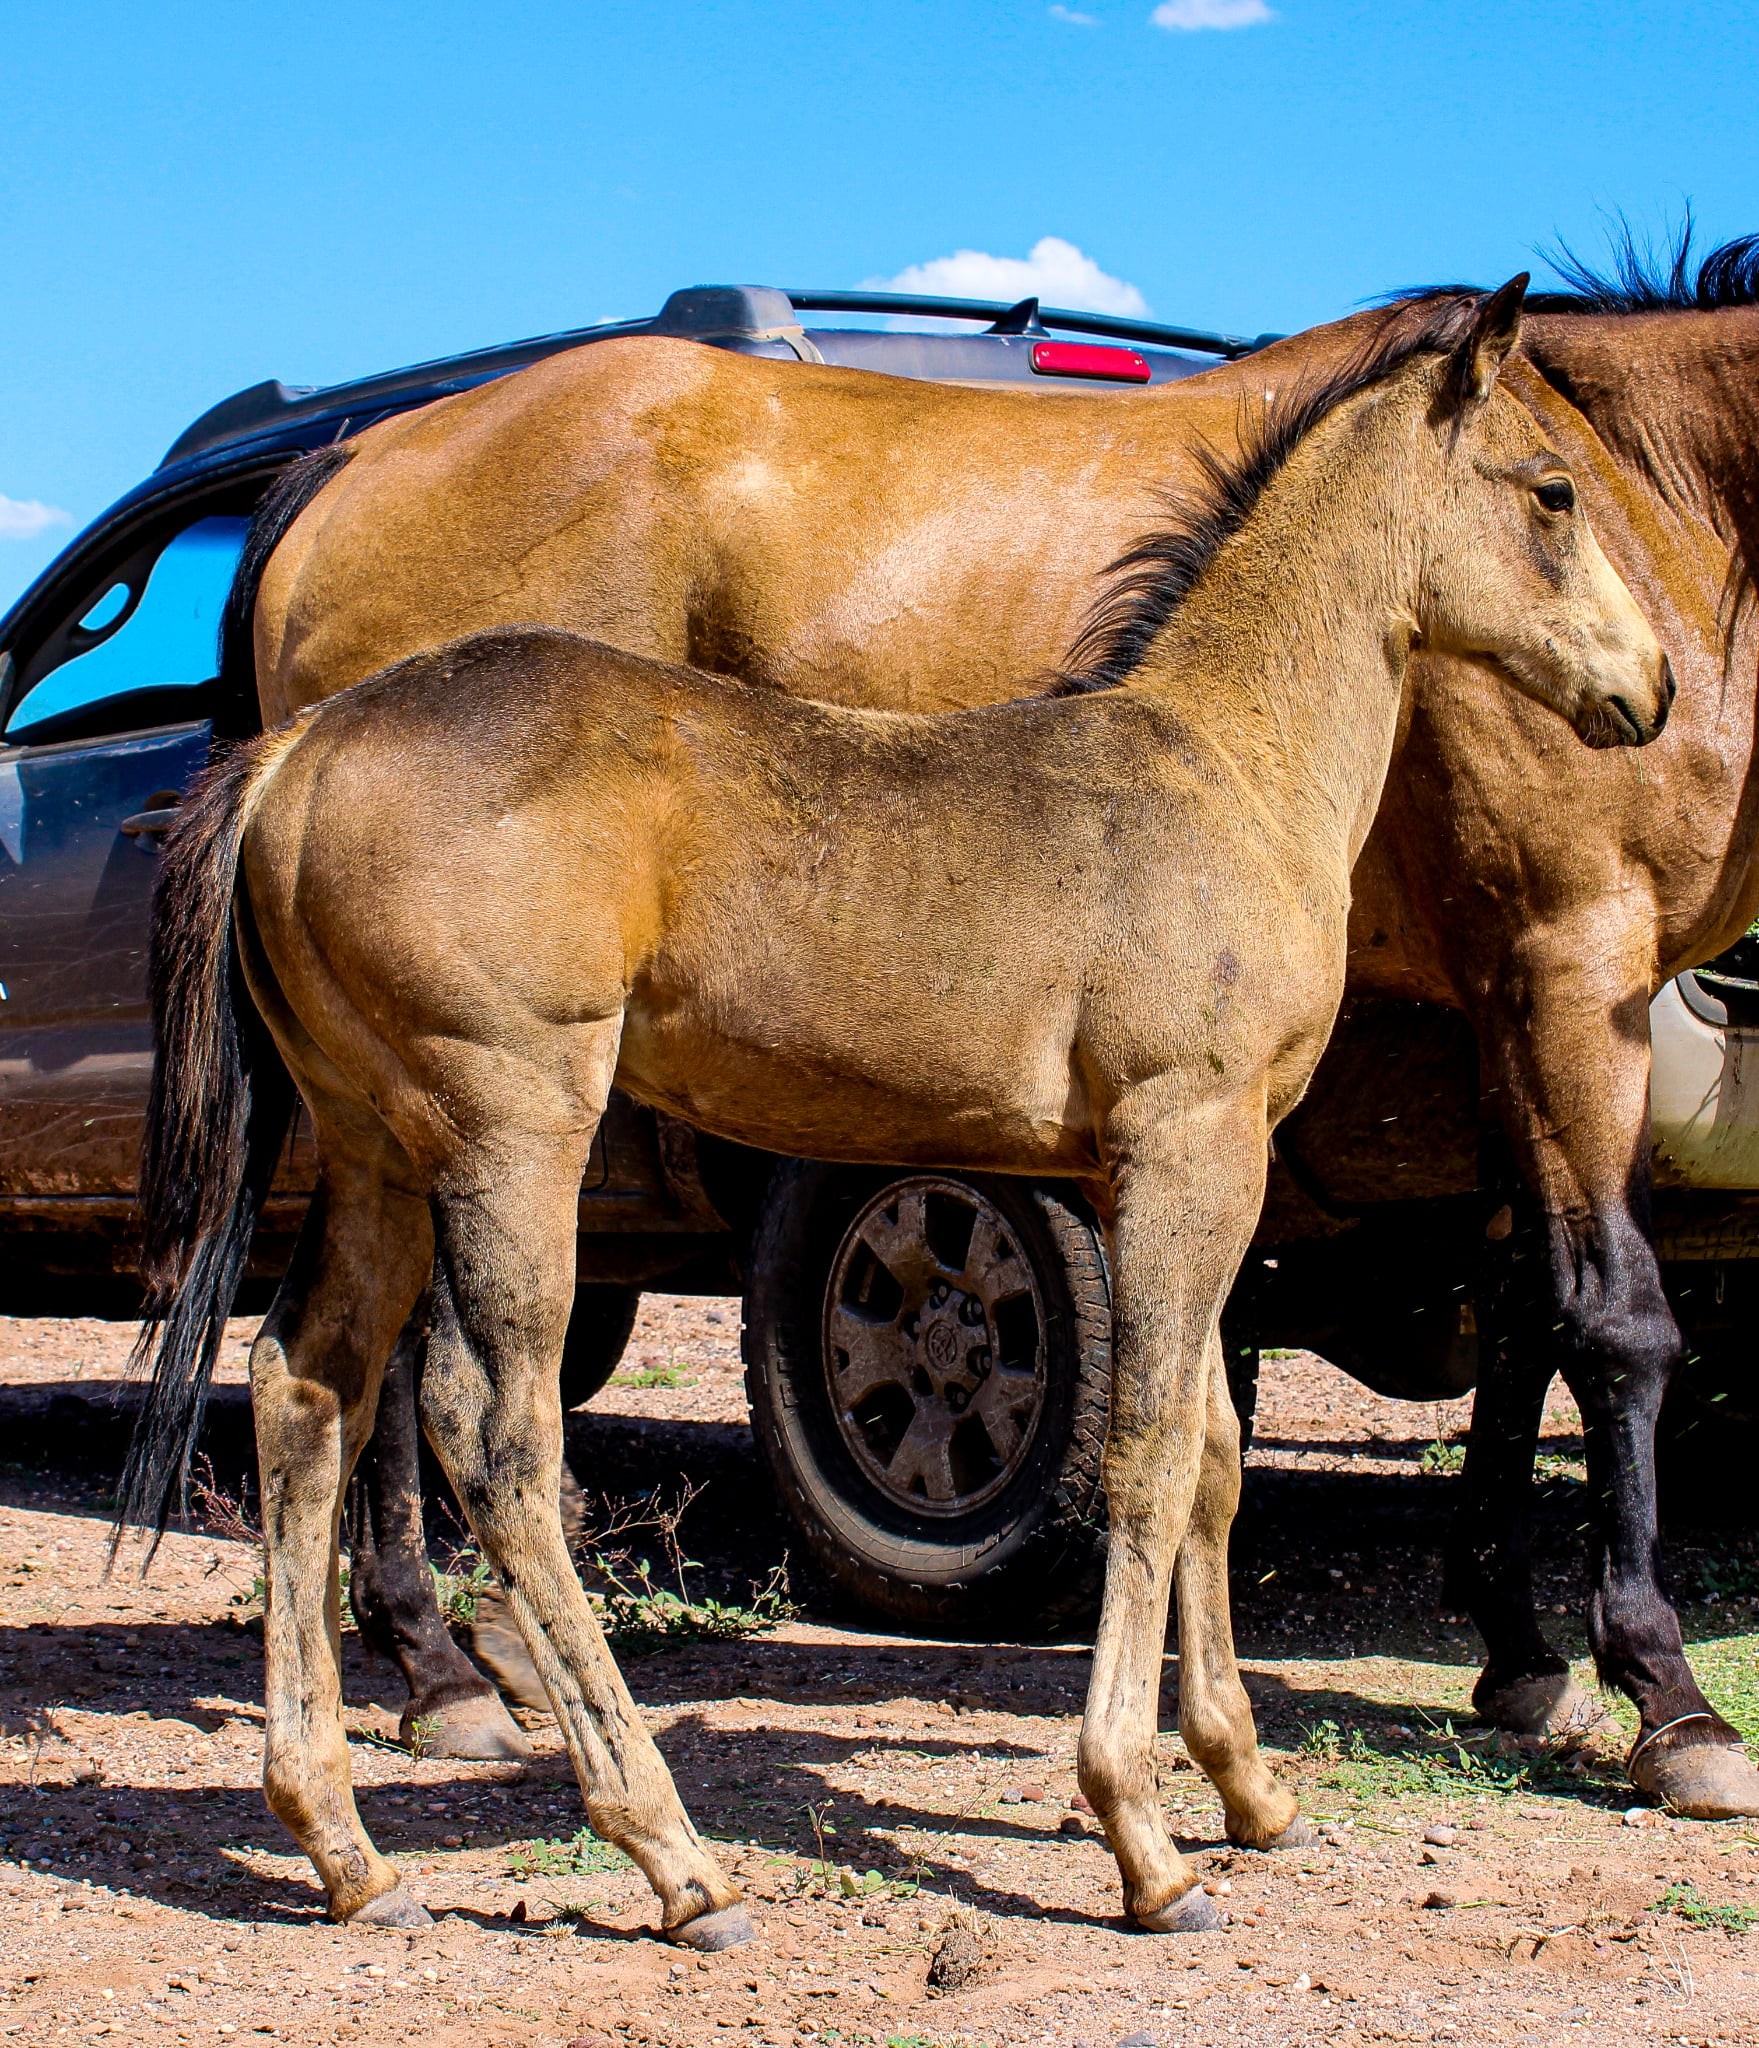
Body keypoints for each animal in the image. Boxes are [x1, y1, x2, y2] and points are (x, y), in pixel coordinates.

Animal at [121, 285, 1666, 1940]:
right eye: (1552, 493)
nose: (1650, 689)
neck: (1221, 769)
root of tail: (295, 751)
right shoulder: (1185, 1142)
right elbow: (1145, 1451)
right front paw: (1142, 1838)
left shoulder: (1176, 1174)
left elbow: (1207, 1454)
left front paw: (1247, 1787)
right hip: (509, 1128)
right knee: (495, 1428)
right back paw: (670, 1852)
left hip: (371, 1145)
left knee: (303, 1386)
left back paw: (342, 1844)